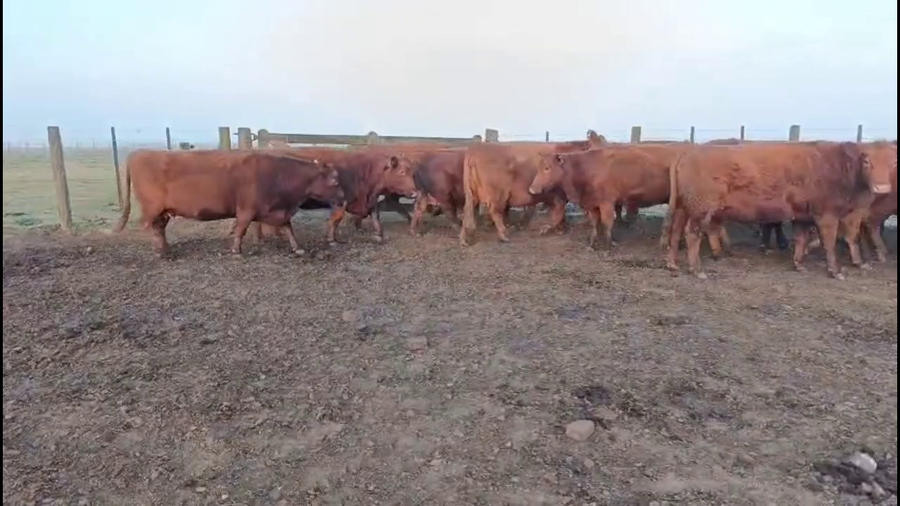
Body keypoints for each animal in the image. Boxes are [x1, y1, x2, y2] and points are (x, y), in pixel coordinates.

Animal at [112, 150, 344, 256]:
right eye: (335, 181)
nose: (343, 197)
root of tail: (138, 153)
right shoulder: (246, 210)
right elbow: (241, 229)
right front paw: (236, 251)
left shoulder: (275, 211)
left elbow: (288, 228)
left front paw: (297, 248)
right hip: (153, 208)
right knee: (151, 227)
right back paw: (159, 252)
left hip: (164, 211)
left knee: (159, 228)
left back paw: (166, 249)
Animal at [458, 134, 608, 246]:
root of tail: (477, 147)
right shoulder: (559, 196)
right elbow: (558, 214)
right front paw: (547, 229)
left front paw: (560, 229)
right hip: (497, 194)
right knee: (494, 211)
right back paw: (503, 234)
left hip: (472, 193)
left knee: (467, 210)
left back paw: (464, 238)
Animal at [663, 141, 890, 279]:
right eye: (867, 161)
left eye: (893, 162)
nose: (883, 188)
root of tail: (689, 151)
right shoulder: (827, 214)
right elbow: (830, 242)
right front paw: (835, 271)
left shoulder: (803, 216)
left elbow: (801, 238)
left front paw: (799, 264)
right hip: (701, 208)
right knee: (692, 234)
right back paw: (696, 269)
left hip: (684, 206)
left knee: (675, 231)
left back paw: (672, 264)